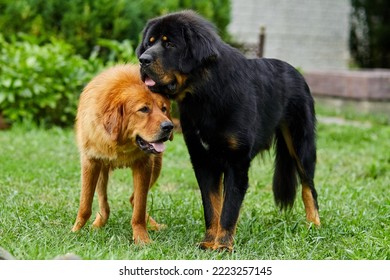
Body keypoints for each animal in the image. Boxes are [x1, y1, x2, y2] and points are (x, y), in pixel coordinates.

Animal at [70, 63, 174, 243]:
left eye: (164, 109)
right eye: (144, 109)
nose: (169, 126)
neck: (120, 144)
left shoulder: (145, 166)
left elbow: (139, 209)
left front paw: (141, 238)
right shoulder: (90, 162)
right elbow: (85, 205)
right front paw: (75, 231)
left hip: (156, 167)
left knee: (134, 199)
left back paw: (154, 225)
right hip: (102, 171)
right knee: (104, 205)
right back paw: (98, 224)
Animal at [137, 10, 320, 252]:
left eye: (170, 44)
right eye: (149, 43)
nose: (143, 59)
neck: (203, 95)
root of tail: (297, 73)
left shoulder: (237, 162)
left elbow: (229, 208)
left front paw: (223, 246)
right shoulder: (203, 160)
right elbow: (213, 206)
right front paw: (209, 241)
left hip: (301, 144)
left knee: (309, 186)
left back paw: (314, 224)